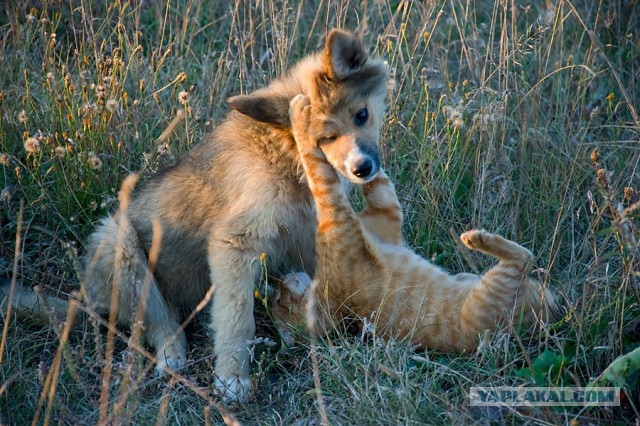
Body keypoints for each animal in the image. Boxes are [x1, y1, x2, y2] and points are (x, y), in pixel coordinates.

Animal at [270, 95, 560, 352]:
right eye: (279, 299)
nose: (279, 278)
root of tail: (552, 315)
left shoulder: (385, 213)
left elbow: (376, 180)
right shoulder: (338, 210)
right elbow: (316, 168)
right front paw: (299, 114)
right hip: (488, 297)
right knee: (523, 258)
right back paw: (476, 239)